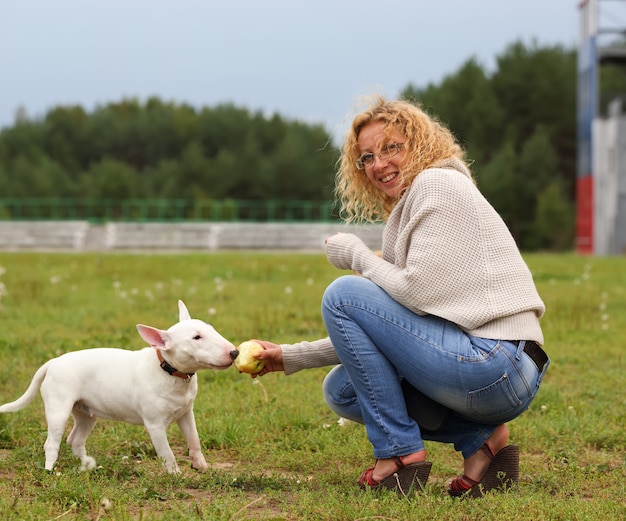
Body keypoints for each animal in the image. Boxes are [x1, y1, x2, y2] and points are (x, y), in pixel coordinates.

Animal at [0, 298, 238, 474]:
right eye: (196, 337)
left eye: (210, 329)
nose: (234, 352)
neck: (169, 371)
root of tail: (52, 362)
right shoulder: (155, 425)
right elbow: (167, 453)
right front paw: (176, 475)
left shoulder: (186, 413)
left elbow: (194, 439)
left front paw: (201, 465)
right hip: (59, 408)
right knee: (52, 442)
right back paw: (50, 470)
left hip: (86, 413)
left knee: (75, 439)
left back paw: (89, 466)